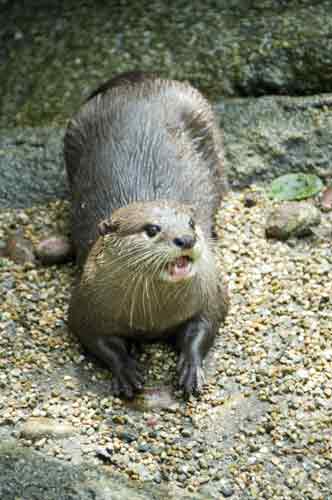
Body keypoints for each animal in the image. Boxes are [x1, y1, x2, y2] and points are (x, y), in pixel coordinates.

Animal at [64, 71, 228, 398]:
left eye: (191, 223)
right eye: (152, 229)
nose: (186, 239)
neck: (152, 319)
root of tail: (138, 79)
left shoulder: (211, 291)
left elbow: (205, 325)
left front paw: (191, 369)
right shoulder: (84, 304)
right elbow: (96, 340)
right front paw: (126, 369)